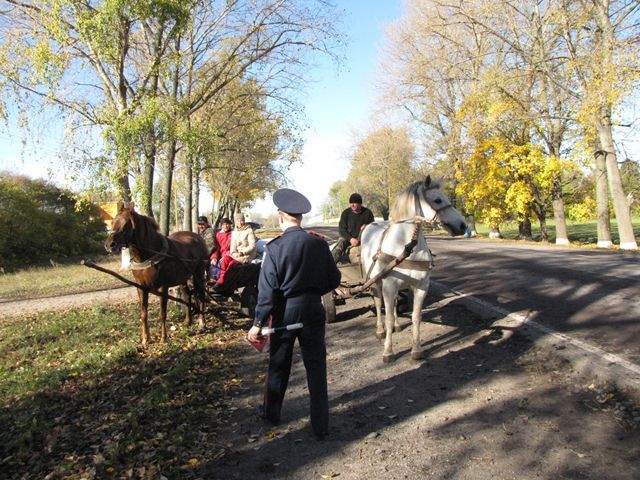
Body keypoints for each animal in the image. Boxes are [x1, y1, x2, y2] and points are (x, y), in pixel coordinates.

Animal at [105, 201, 209, 346]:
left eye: (126, 224)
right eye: (113, 221)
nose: (109, 245)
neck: (147, 255)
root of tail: (198, 237)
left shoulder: (162, 287)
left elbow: (162, 313)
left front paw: (163, 337)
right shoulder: (141, 287)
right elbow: (143, 313)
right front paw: (145, 339)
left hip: (198, 274)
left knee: (201, 296)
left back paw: (202, 324)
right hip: (183, 278)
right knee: (187, 296)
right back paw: (188, 321)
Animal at [360, 178, 470, 362]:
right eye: (437, 200)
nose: (463, 226)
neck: (406, 247)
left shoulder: (421, 286)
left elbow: (416, 317)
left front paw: (416, 349)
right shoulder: (389, 286)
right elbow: (387, 316)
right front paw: (388, 351)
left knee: (394, 304)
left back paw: (397, 325)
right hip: (375, 282)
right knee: (378, 303)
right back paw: (380, 330)